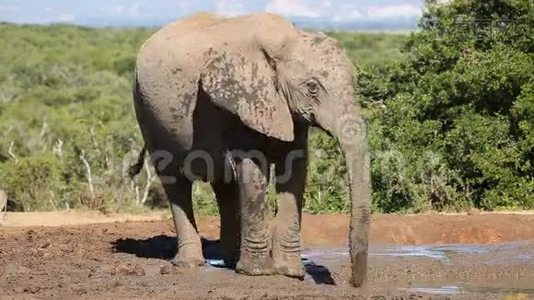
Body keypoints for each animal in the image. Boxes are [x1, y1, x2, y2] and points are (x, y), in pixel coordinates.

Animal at [133, 12, 372, 288]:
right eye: (312, 87)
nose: (353, 282)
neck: (285, 40)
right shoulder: (243, 101)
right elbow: (253, 169)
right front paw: (259, 272)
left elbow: (295, 169)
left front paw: (291, 272)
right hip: (148, 114)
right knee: (176, 183)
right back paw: (189, 264)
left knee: (224, 183)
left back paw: (230, 260)